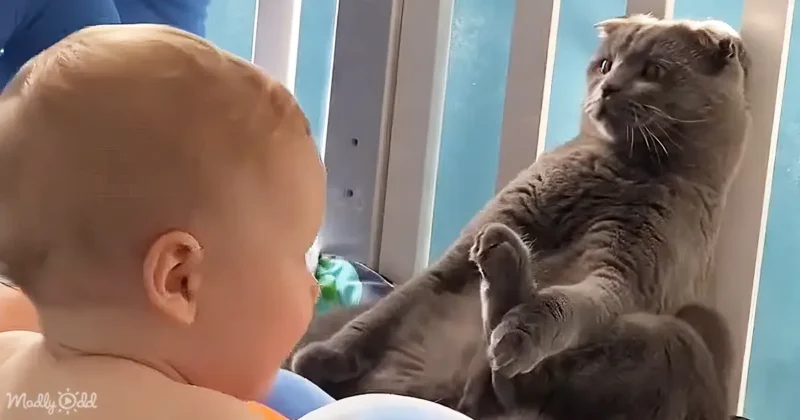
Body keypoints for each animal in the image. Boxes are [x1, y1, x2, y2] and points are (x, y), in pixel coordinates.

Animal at [292, 15, 751, 419]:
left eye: (653, 69)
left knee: (514, 385)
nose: (609, 87)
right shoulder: (480, 233)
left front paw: (524, 328)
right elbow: (392, 306)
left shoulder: (620, 275)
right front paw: (323, 357)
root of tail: (446, 401)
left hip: (687, 332)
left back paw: (506, 301)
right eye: (605, 64)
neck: (622, 171)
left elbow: (565, 303)